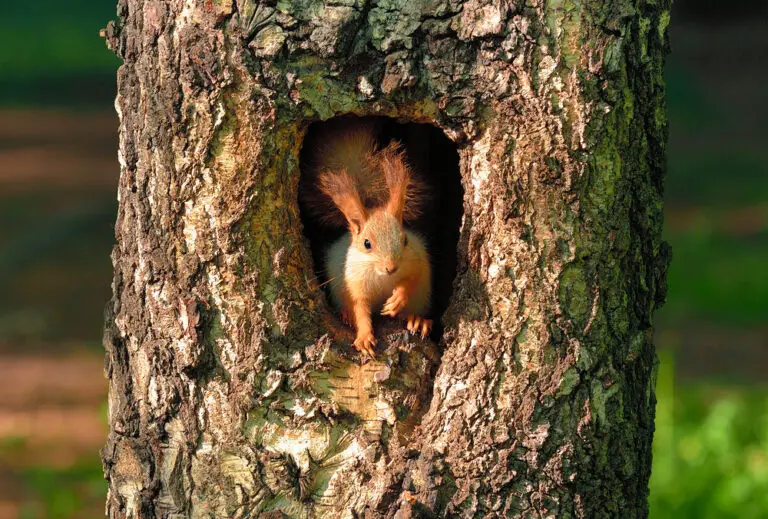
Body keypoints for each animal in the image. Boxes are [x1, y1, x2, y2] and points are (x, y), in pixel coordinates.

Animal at [301, 119, 432, 359]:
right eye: (367, 244)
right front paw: (363, 337)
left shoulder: (416, 261)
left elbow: (411, 280)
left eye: (405, 239)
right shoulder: (354, 281)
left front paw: (397, 299)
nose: (391, 267)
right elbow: (360, 308)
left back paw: (416, 320)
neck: (383, 278)